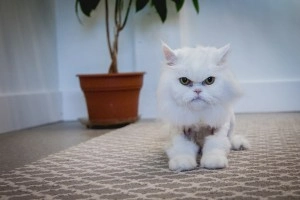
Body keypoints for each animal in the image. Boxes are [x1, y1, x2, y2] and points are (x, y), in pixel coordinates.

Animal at [157, 43, 248, 171]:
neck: (199, 115)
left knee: (230, 139)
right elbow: (182, 148)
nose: (197, 90)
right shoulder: (180, 129)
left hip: (232, 121)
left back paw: (238, 145)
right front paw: (182, 163)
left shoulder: (218, 127)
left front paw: (213, 162)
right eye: (184, 80)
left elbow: (215, 145)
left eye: (210, 80)